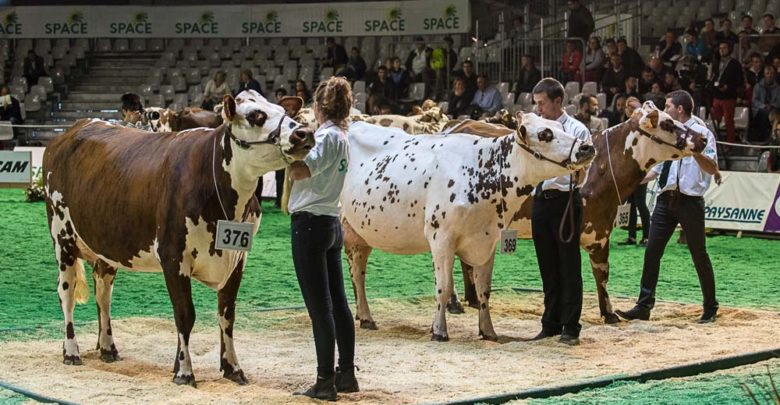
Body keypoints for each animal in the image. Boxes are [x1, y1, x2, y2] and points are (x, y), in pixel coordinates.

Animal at [43, 90, 314, 386]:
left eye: (284, 112)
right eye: (257, 115)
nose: (304, 133)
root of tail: (72, 130)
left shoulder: (237, 259)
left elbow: (227, 313)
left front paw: (233, 368)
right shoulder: (173, 257)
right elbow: (185, 315)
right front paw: (184, 372)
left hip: (106, 246)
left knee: (103, 295)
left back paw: (107, 348)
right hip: (62, 236)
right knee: (66, 293)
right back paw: (71, 351)